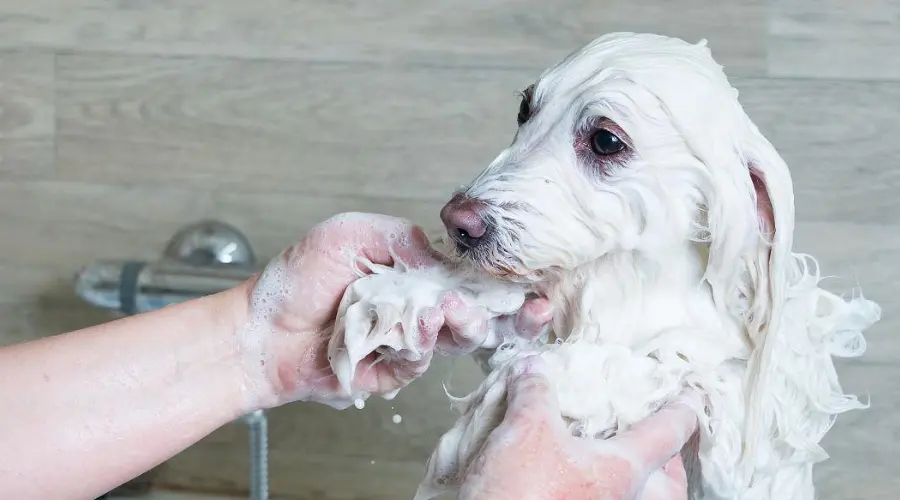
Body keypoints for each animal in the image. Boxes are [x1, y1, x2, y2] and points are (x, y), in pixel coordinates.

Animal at [326, 31, 884, 500]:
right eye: (525, 108)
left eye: (606, 140)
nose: (458, 223)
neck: (628, 286)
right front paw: (398, 296)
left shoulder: (728, 393)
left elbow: (650, 365)